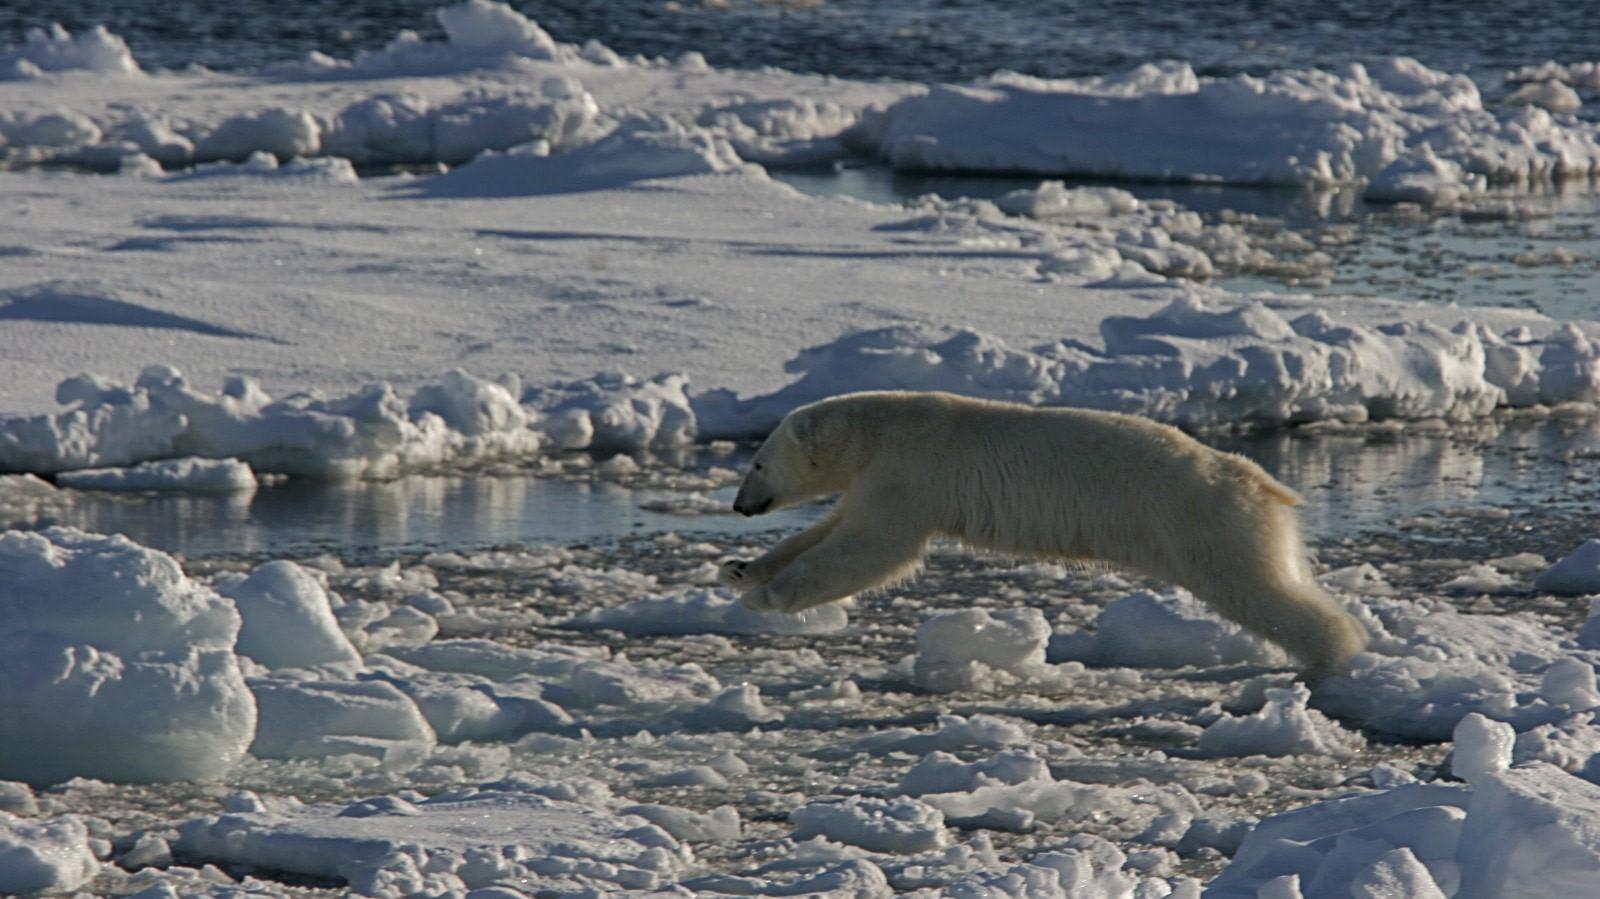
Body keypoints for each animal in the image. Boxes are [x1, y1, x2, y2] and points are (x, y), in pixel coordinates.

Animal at [720, 388, 1369, 675]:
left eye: (758, 463)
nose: (739, 506)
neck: (881, 427)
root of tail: (1263, 481)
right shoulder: (877, 476)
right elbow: (833, 527)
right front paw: (742, 569)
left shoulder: (911, 472)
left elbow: (872, 548)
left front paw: (766, 597)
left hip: (1198, 518)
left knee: (1253, 587)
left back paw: (1332, 655)